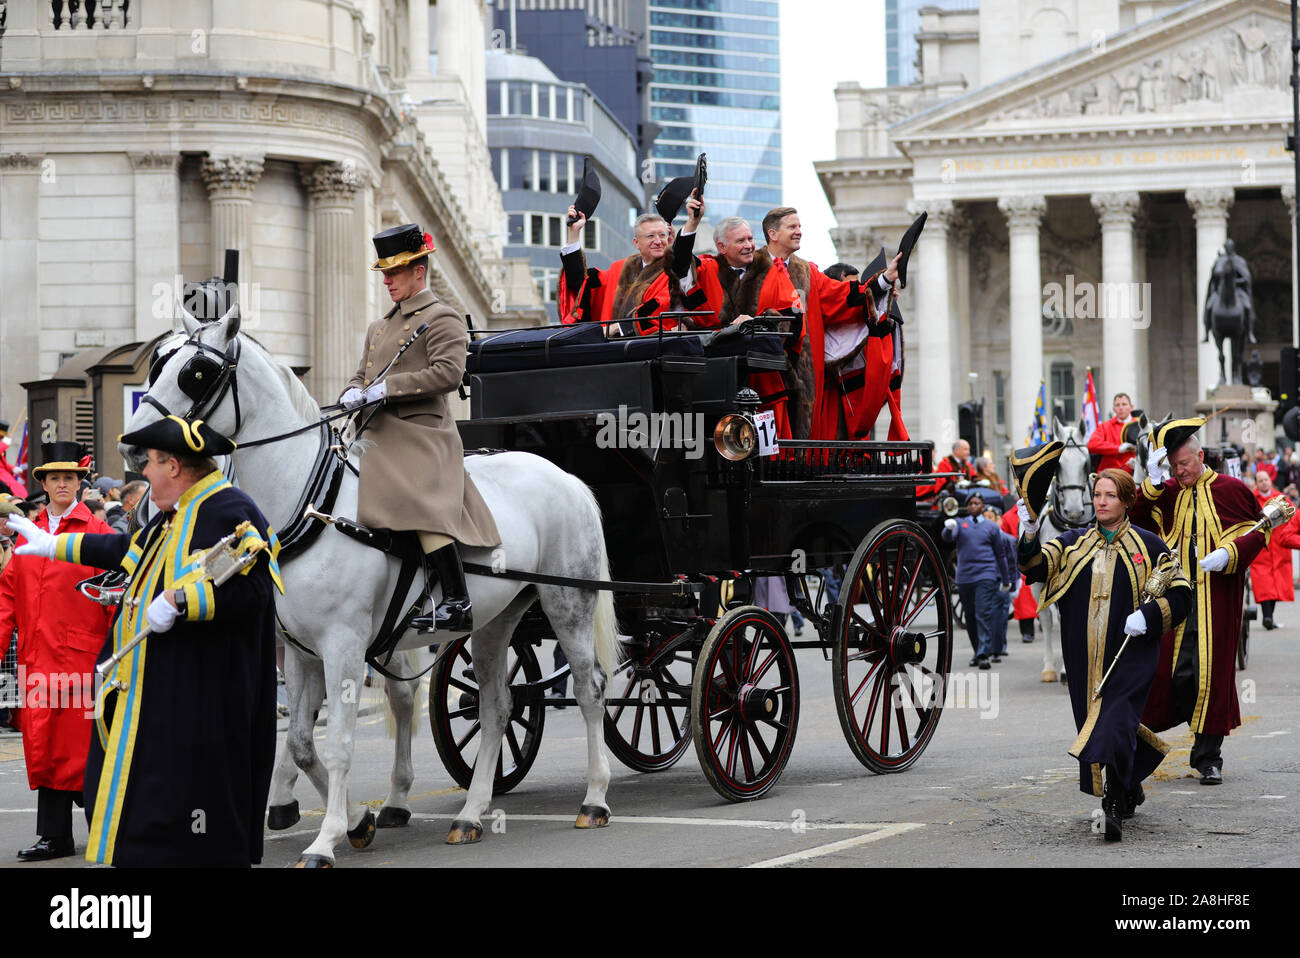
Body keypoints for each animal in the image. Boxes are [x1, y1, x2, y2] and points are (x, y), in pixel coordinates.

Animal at [124, 308, 621, 868]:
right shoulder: (301, 651)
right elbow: (301, 742)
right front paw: (356, 820)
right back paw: (471, 813)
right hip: (497, 620)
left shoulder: (342, 646)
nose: (134, 444)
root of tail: (565, 476)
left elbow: (338, 743)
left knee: (589, 688)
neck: (311, 506)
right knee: (496, 706)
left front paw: (326, 839)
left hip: (567, 603)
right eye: (158, 364)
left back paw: (594, 798)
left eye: (197, 372)